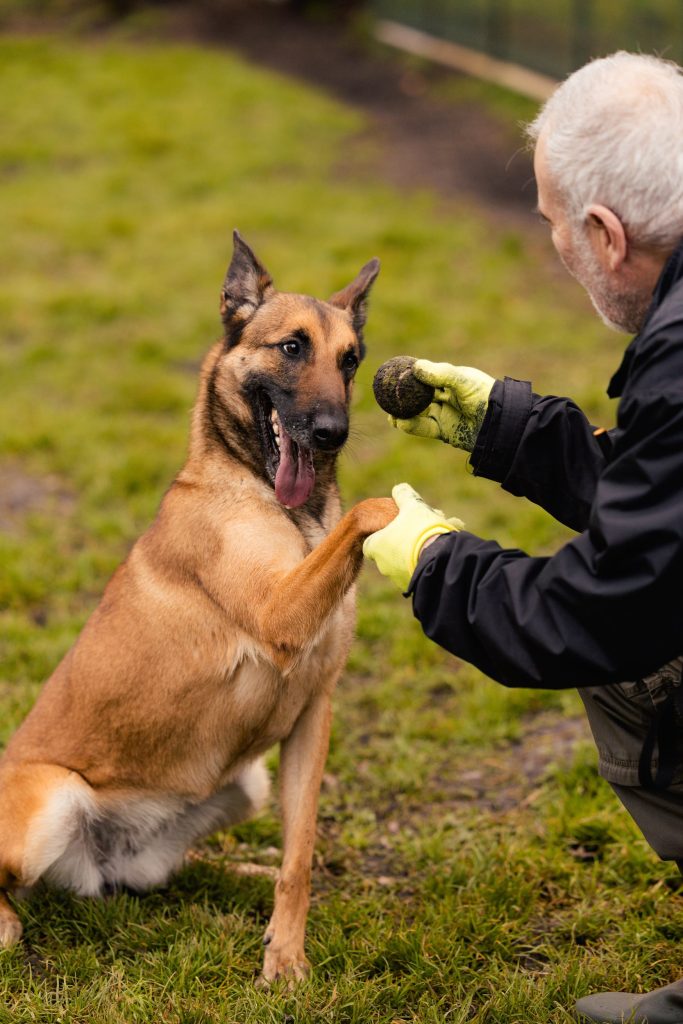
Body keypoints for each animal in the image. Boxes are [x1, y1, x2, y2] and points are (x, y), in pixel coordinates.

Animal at [0, 232, 397, 983]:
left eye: (350, 360)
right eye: (291, 347)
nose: (332, 432)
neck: (295, 514)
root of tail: (94, 864)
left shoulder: (313, 714)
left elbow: (300, 854)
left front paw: (285, 954)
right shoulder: (280, 615)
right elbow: (370, 506)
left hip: (245, 786)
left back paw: (245, 870)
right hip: (49, 807)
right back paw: (4, 925)